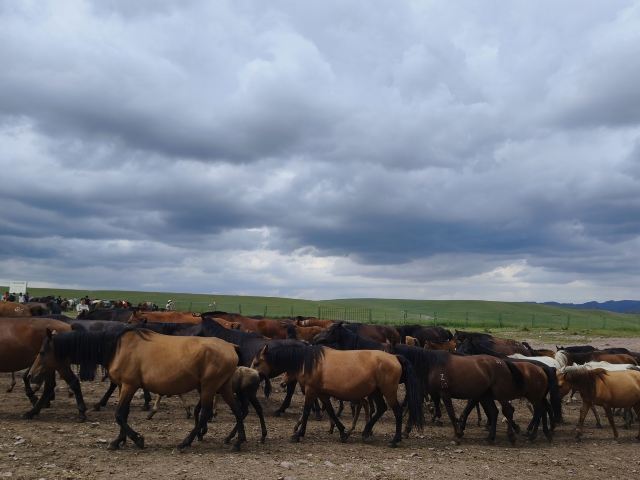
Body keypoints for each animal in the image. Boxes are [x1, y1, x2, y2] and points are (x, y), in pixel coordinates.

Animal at [28, 328, 248, 451]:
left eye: (42, 352)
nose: (31, 375)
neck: (117, 348)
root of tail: (231, 346)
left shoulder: (129, 385)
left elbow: (119, 414)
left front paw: (137, 439)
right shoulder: (124, 387)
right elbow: (123, 414)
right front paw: (118, 441)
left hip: (210, 387)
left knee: (205, 414)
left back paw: (185, 443)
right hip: (223, 386)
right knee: (238, 411)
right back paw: (238, 442)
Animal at [251, 339, 424, 447]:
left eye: (257, 362)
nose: (251, 375)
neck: (310, 361)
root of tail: (395, 357)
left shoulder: (311, 391)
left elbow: (306, 412)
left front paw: (298, 434)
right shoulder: (321, 394)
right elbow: (331, 411)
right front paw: (342, 433)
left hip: (388, 392)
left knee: (397, 412)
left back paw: (395, 440)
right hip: (376, 392)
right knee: (381, 409)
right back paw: (365, 432)